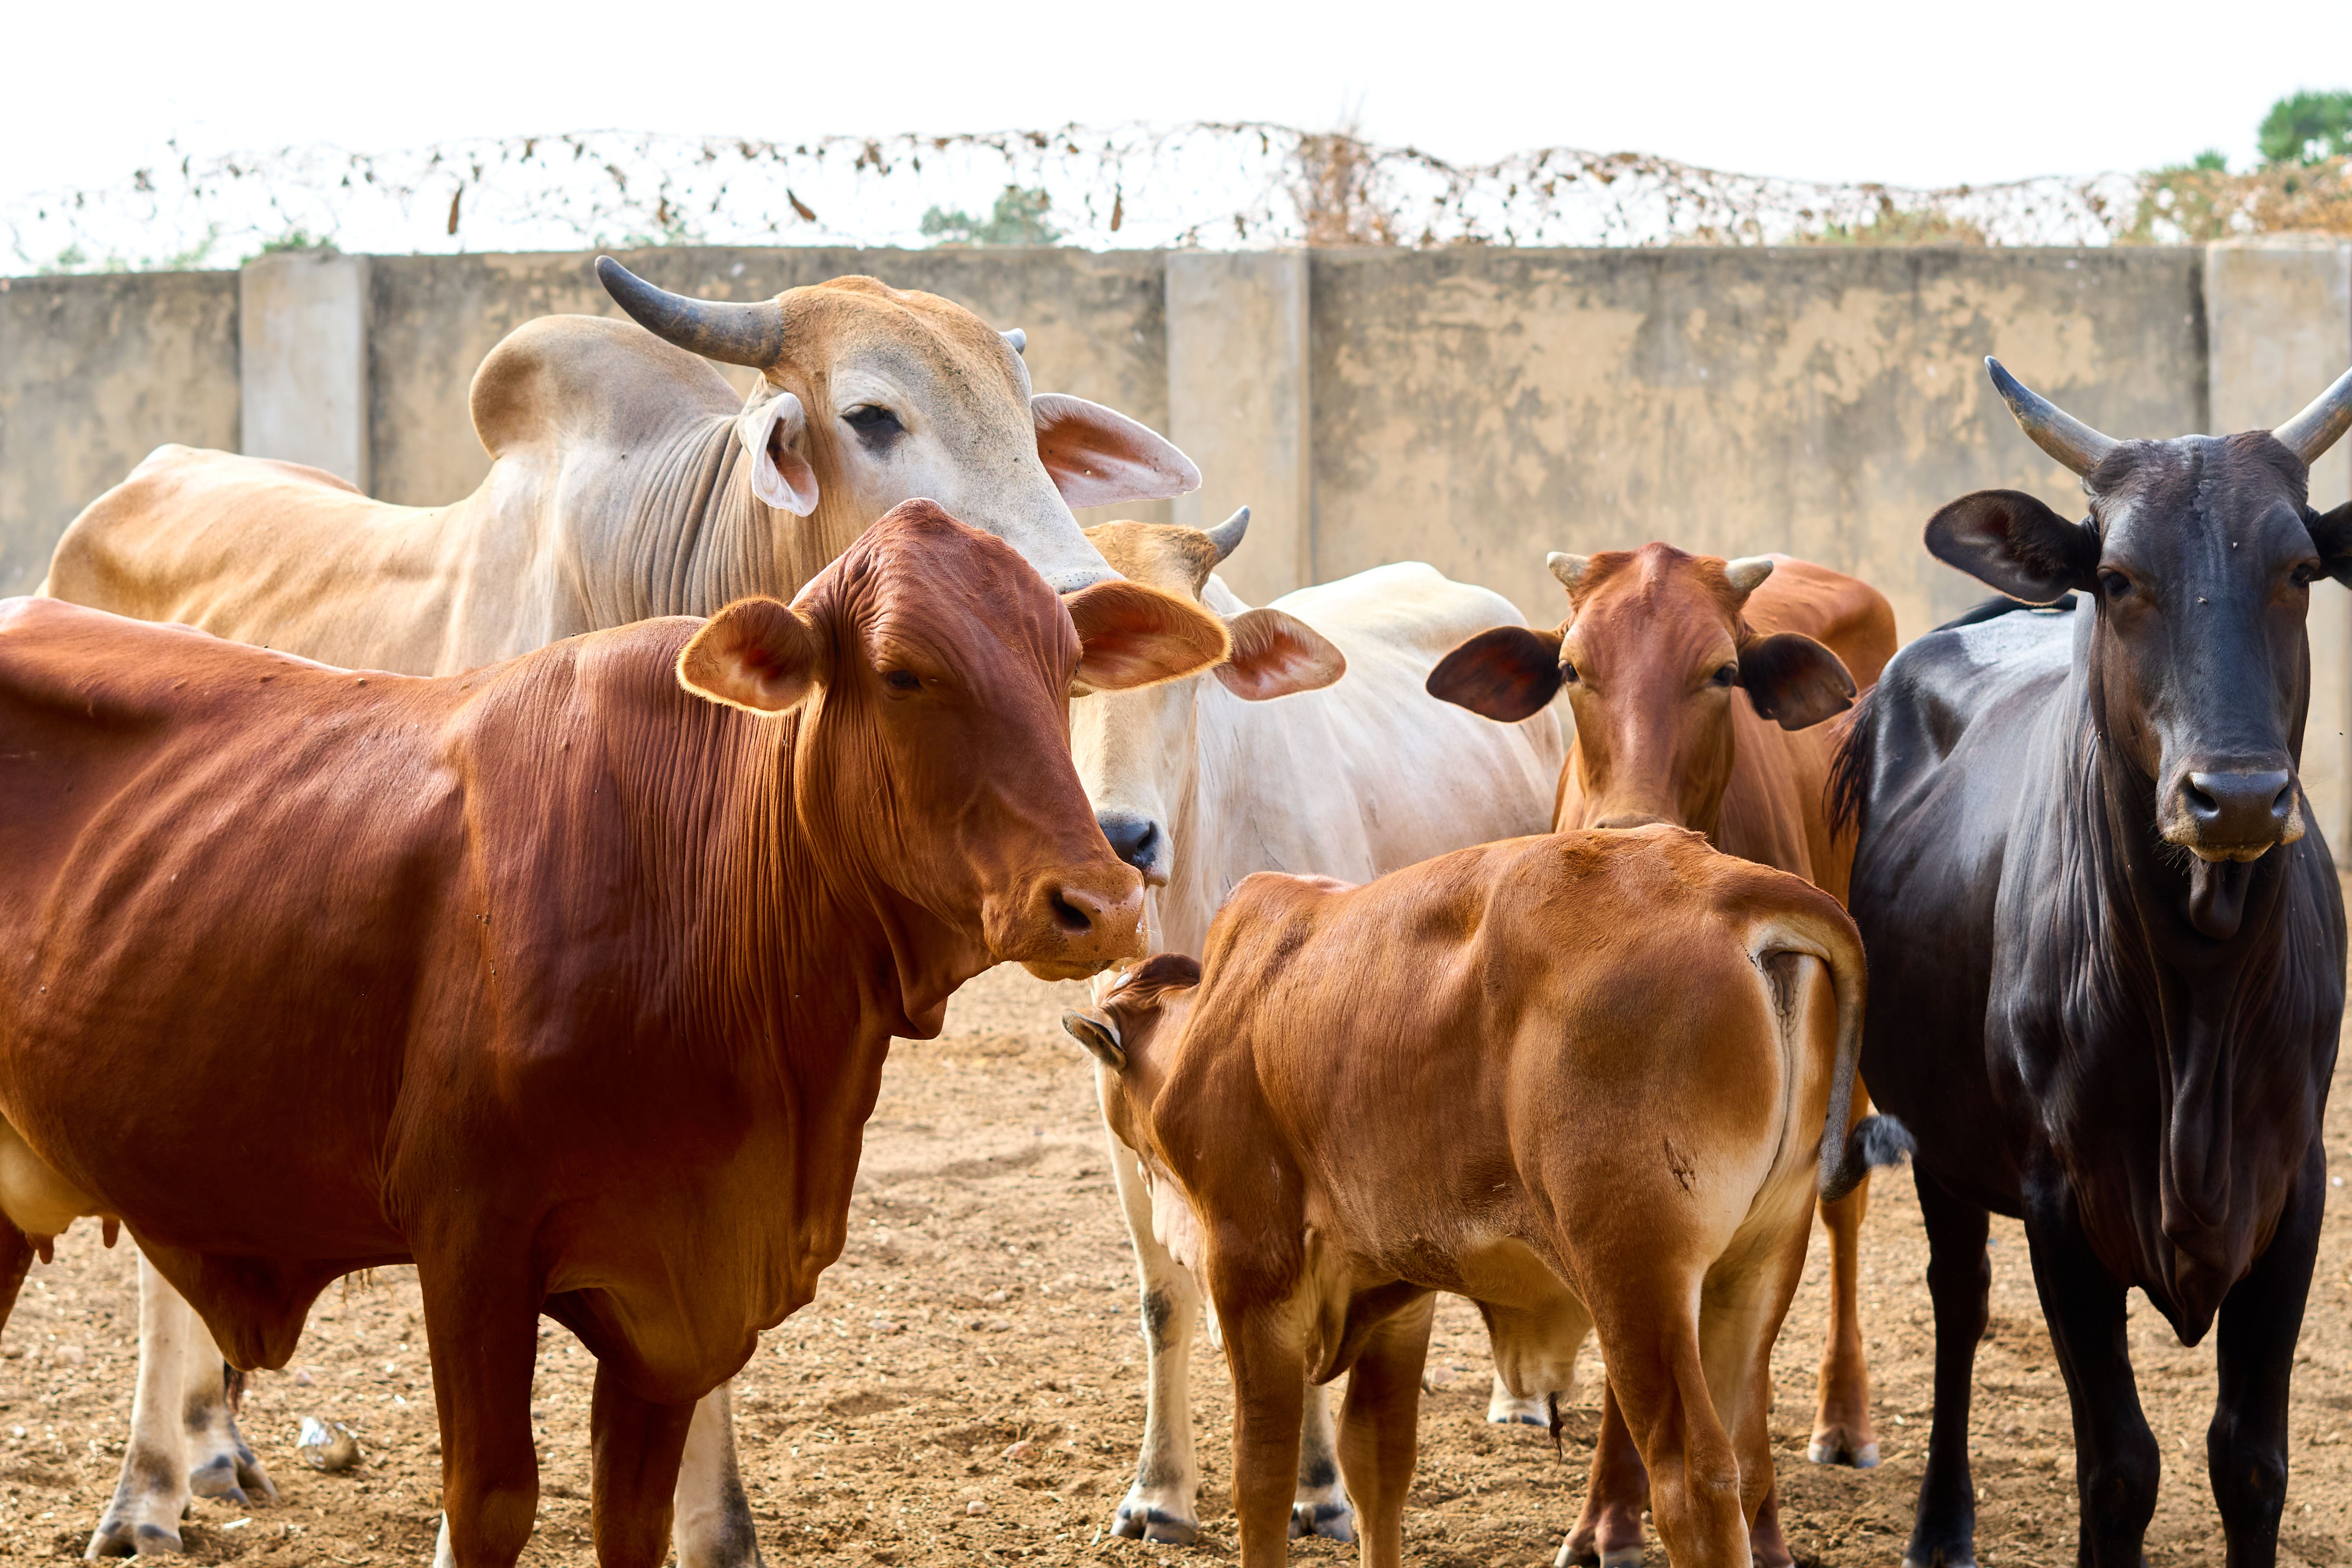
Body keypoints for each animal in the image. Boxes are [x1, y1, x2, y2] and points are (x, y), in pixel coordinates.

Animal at [39, 258, 1204, 1563]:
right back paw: (147, 1488)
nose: (1078, 604)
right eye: (873, 416)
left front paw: (717, 1528)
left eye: (1027, 420)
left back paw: (215, 1443)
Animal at [1061, 826, 1900, 1568]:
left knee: (1694, 1483)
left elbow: (1261, 1483)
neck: (1223, 1015)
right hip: (1758, 1266)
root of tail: (1725, 889)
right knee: (1750, 1465)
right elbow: (1379, 1471)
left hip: (1635, 1279)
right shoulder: (1397, 1298)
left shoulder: (1251, 1280)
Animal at [1067, 509, 1565, 1543]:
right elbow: (1163, 1299)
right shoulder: (1118, 1099)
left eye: (1192, 673)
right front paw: (1158, 1491)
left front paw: (1321, 1485)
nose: (1122, 841)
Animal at [1425, 543, 1897, 1566]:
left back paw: (1844, 1418)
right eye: (1571, 668)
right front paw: (1606, 1514)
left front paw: (1761, 1523)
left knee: (1844, 1215)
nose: (1629, 831)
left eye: (1721, 672)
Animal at [1829, 358, 2352, 1568]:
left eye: (2301, 569)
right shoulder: (2061, 1202)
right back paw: (1943, 1522)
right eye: (2119, 578)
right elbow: (2119, 1470)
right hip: (1940, 1140)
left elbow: (2251, 1461)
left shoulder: (2293, 1188)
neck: (2201, 987)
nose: (2237, 797)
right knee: (1961, 1299)